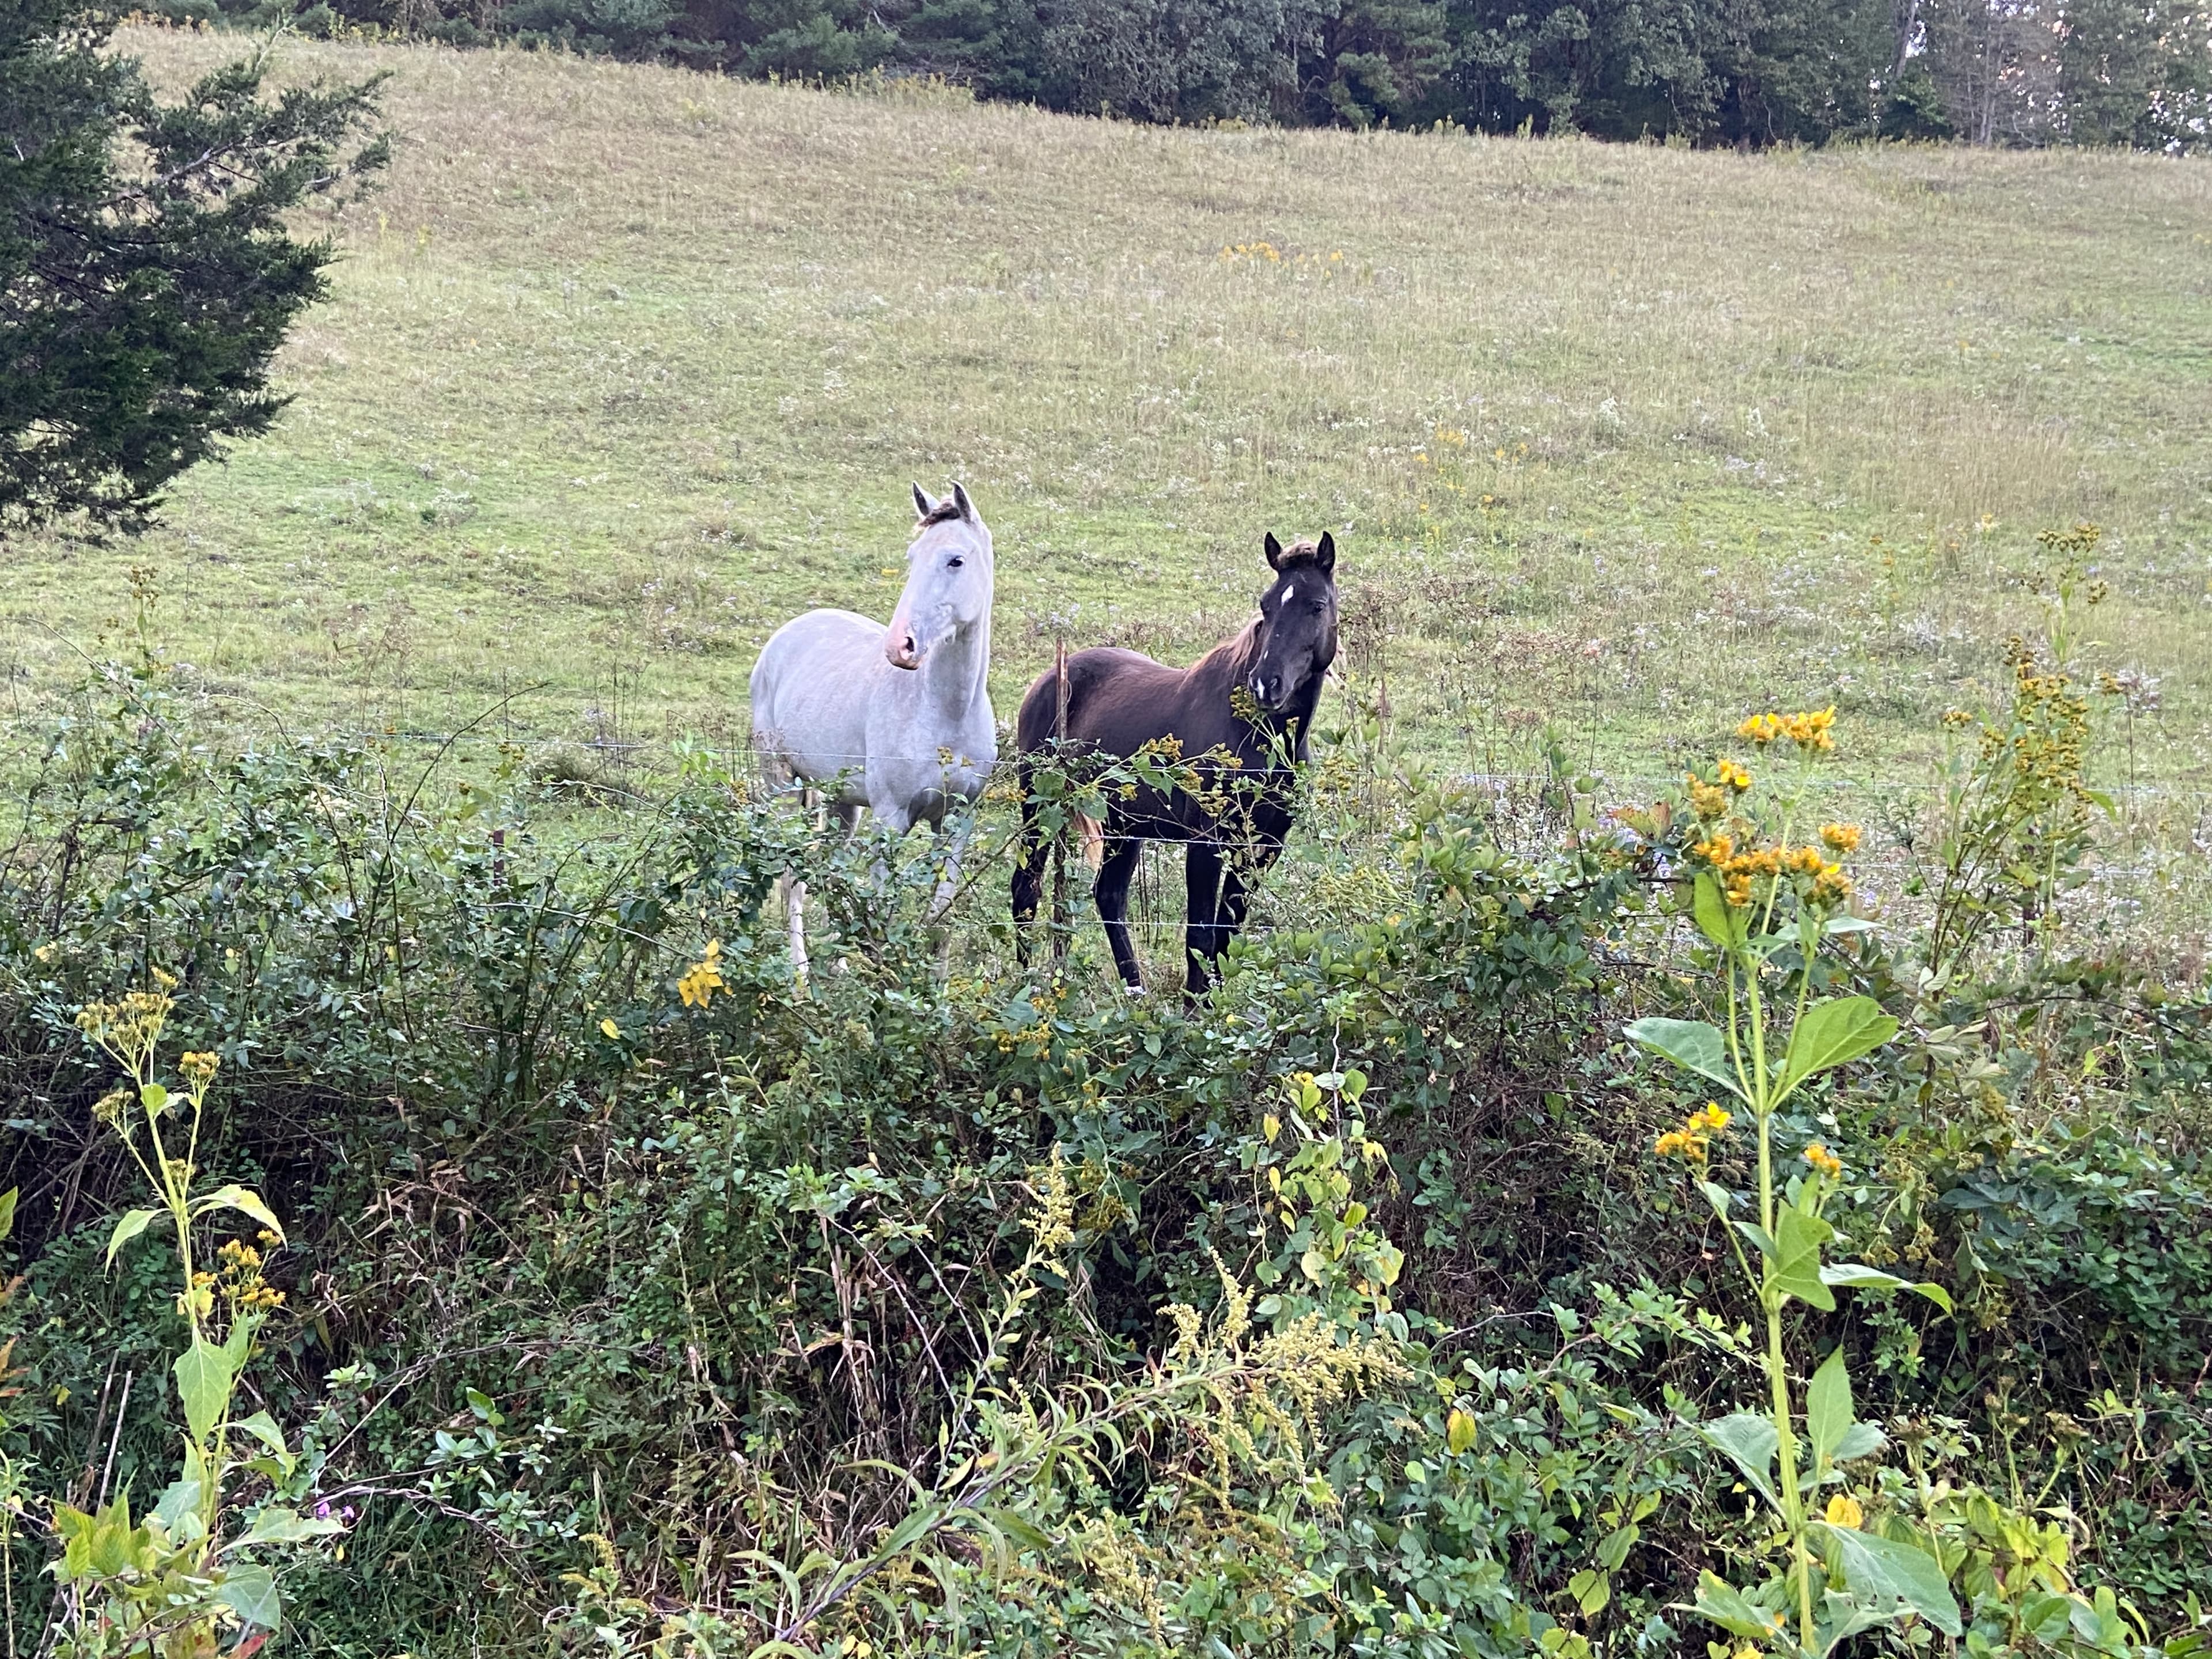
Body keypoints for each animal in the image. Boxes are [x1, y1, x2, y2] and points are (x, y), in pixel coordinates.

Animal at [750, 482, 996, 980]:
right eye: (912, 556)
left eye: (955, 560)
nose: (901, 646)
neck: (946, 715)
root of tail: (785, 636)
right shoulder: (891, 819)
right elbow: (882, 910)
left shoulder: (958, 820)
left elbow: (940, 919)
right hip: (782, 786)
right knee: (792, 878)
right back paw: (801, 977)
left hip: (842, 803)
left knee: (830, 871)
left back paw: (839, 967)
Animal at [1011, 531, 1338, 996]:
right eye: (1266, 605)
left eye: (1317, 605)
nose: (1265, 684)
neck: (1261, 739)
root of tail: (1051, 677)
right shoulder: (1206, 842)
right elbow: (1199, 935)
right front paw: (1193, 1007)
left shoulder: (1263, 847)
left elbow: (1226, 934)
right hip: (1040, 809)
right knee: (1027, 889)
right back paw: (1026, 983)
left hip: (1123, 826)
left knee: (1108, 895)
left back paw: (1135, 990)